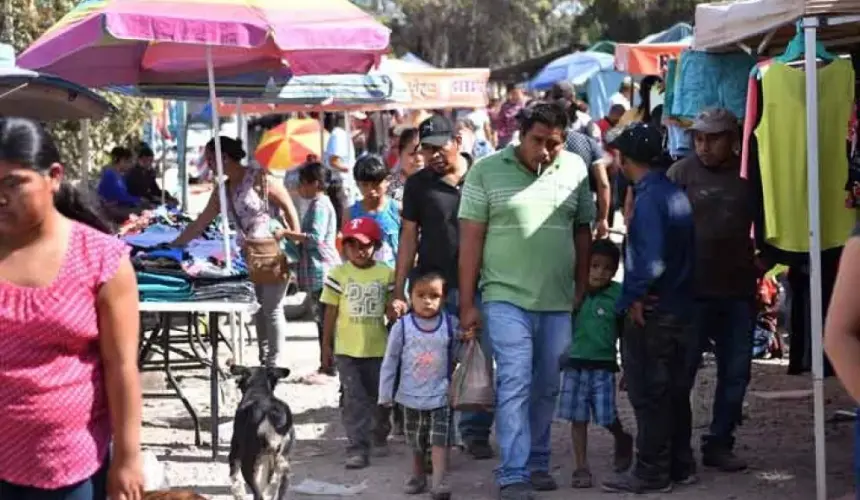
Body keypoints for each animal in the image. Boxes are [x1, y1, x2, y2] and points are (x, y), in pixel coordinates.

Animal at [228, 364, 296, 500]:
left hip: (248, 463)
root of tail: (271, 413)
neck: (258, 390)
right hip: (284, 467)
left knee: (258, 495)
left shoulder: (235, 452)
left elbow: (235, 482)